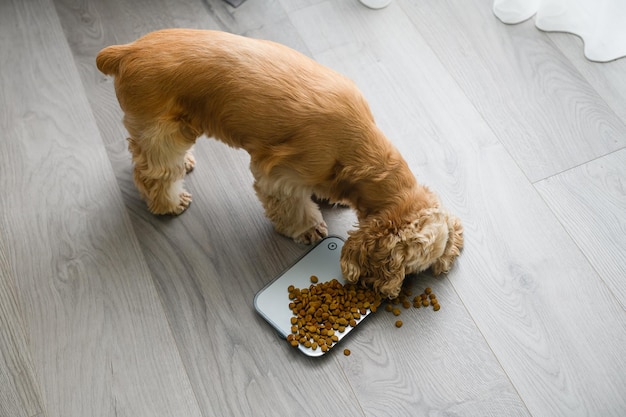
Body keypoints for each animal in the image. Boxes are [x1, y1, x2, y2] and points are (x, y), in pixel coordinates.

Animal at [96, 28, 458, 296]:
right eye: (406, 269)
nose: (387, 292)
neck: (362, 151)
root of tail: (125, 50)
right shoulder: (281, 175)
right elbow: (292, 207)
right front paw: (308, 228)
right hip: (161, 131)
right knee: (151, 173)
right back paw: (170, 202)